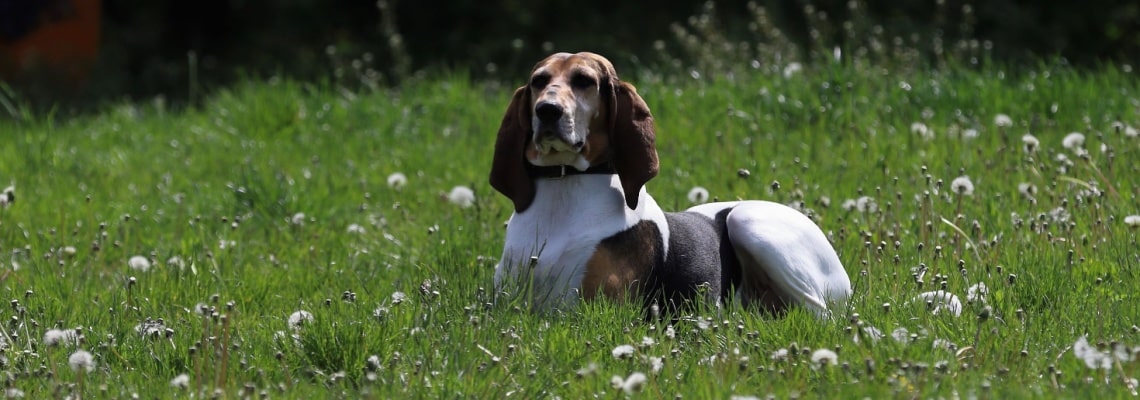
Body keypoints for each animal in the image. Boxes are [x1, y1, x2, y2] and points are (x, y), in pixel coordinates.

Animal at [485, 51, 852, 319]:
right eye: (538, 81)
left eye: (584, 81)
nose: (546, 110)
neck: (565, 185)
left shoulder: (588, 310)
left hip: (748, 222)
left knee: (824, 316)